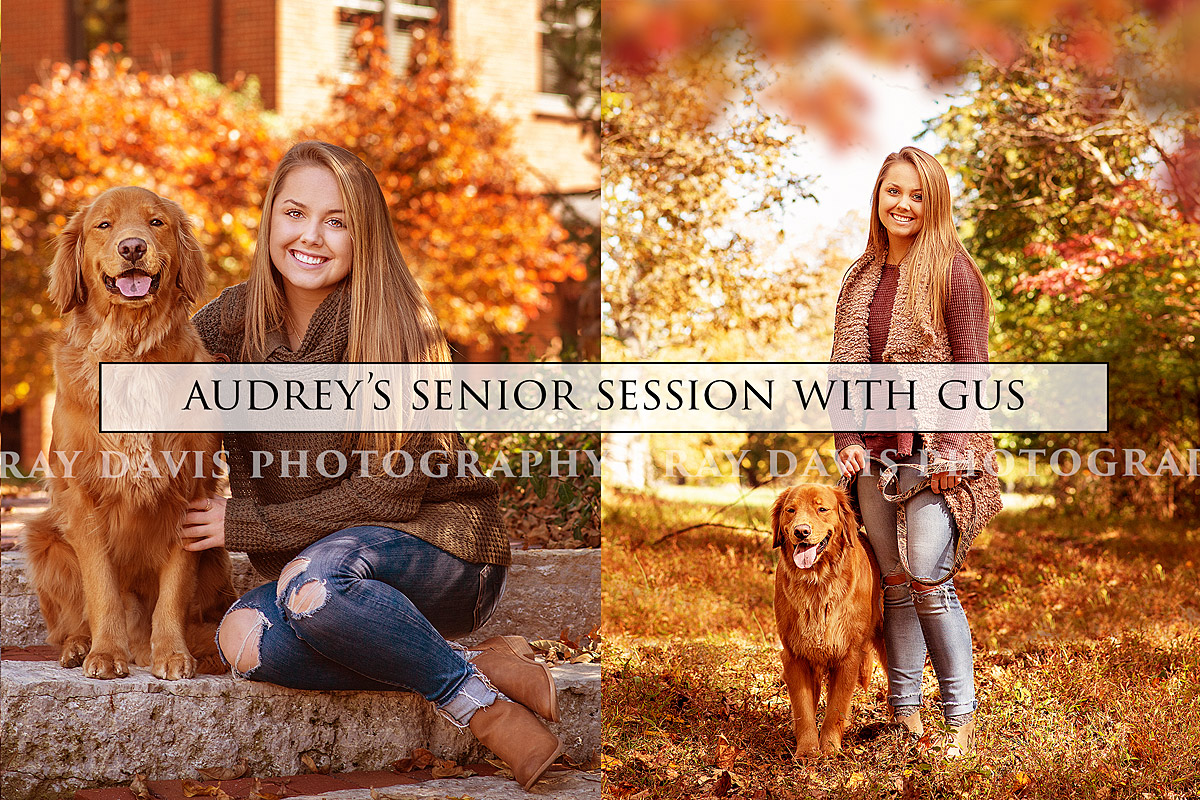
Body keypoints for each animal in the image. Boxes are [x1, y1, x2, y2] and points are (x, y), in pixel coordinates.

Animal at [21, 188, 235, 681]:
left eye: (156, 222)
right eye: (103, 225)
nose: (132, 247)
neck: (131, 349)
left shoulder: (191, 493)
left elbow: (174, 590)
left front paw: (173, 654)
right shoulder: (82, 495)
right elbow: (102, 587)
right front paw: (105, 653)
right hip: (44, 539)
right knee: (68, 622)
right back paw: (80, 645)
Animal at [772, 482, 888, 758]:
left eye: (822, 509)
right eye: (790, 510)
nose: (801, 532)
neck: (817, 582)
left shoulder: (848, 656)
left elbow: (836, 708)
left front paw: (830, 749)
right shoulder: (795, 656)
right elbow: (803, 709)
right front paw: (806, 750)